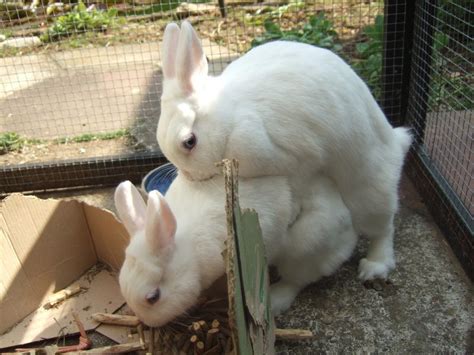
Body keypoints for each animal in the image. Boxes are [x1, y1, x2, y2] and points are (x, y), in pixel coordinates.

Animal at [156, 22, 412, 284]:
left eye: (189, 142)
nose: (190, 177)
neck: (228, 118)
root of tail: (396, 143)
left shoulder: (286, 154)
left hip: (369, 193)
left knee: (383, 228)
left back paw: (374, 266)